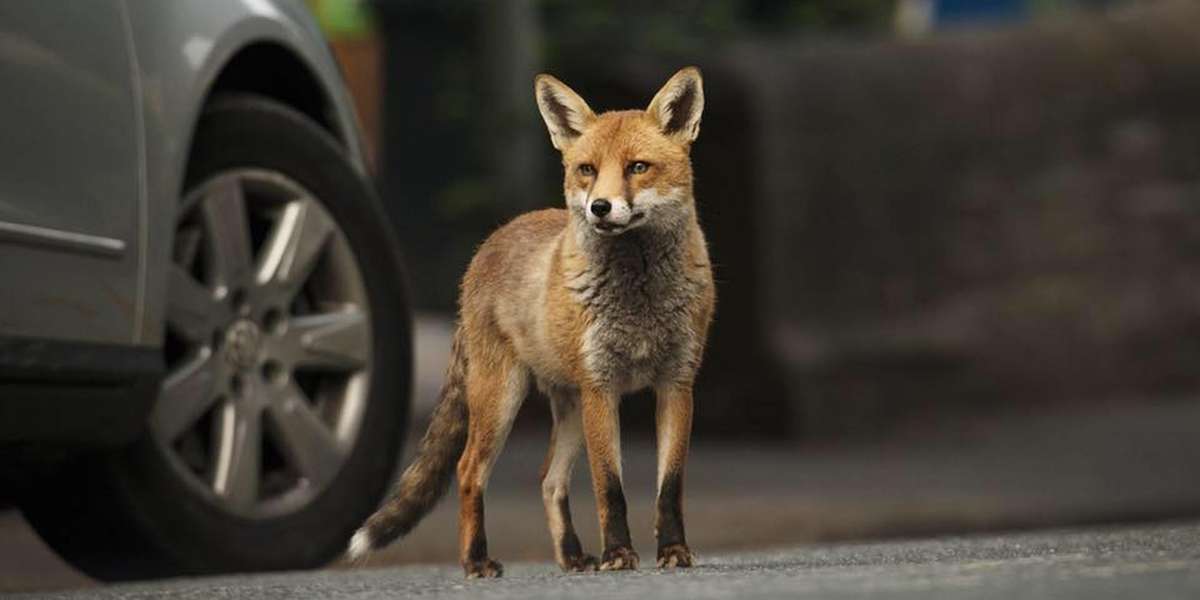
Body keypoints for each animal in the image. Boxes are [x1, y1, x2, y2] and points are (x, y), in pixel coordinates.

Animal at [346, 67, 715, 578]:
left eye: (638, 167)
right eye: (587, 170)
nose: (600, 207)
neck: (638, 297)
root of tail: (491, 241)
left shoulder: (676, 383)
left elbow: (670, 487)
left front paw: (673, 550)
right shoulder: (602, 387)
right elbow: (610, 488)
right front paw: (619, 554)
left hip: (570, 408)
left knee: (549, 479)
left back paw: (572, 556)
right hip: (502, 399)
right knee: (468, 471)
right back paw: (476, 561)